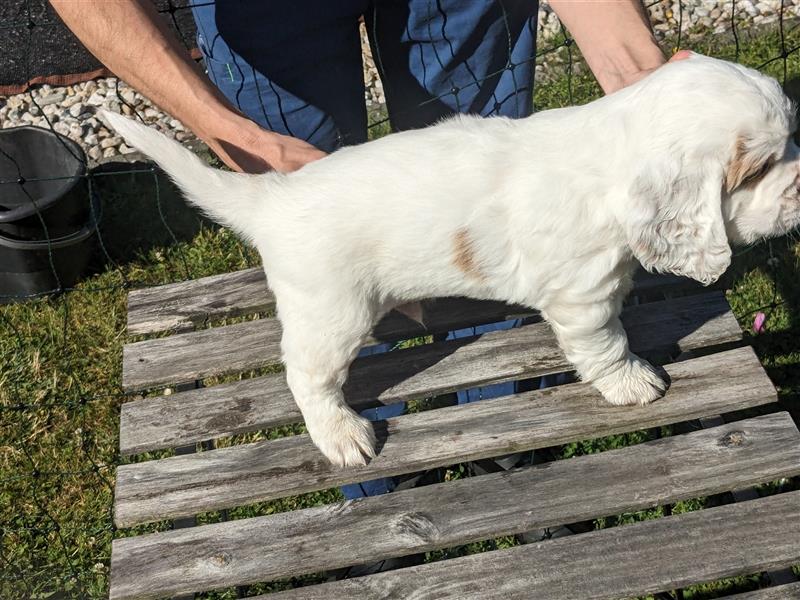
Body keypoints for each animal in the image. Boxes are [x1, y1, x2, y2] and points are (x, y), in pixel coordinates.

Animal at [100, 54, 800, 468]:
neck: (610, 152)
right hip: (331, 313)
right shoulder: (583, 295)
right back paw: (341, 434)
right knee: (307, 376)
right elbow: (605, 343)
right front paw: (632, 382)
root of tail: (272, 199)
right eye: (758, 168)